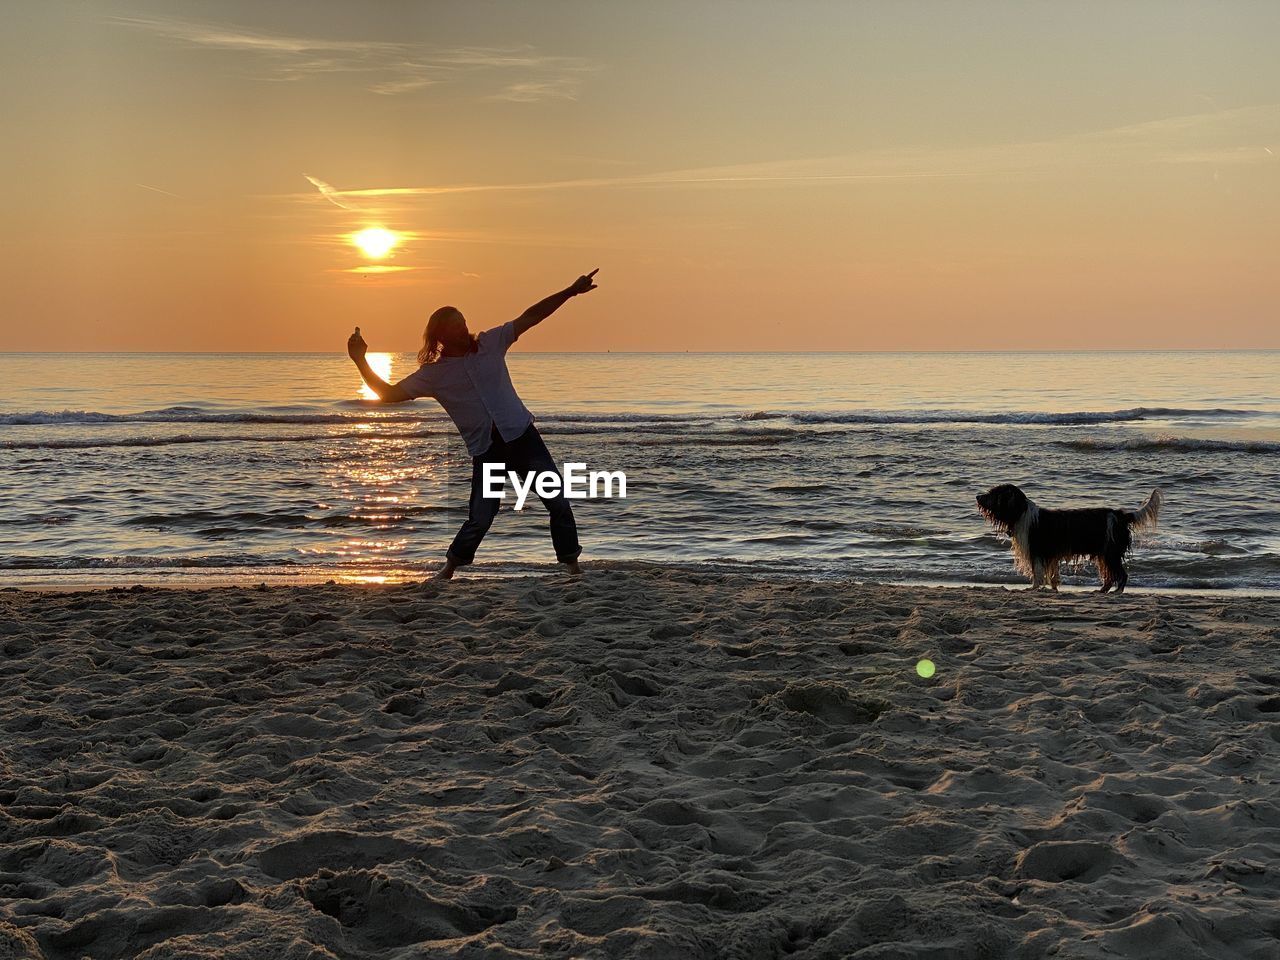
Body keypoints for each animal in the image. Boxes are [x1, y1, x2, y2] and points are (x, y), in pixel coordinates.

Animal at [977, 488, 1162, 593]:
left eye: (993, 494)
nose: (978, 496)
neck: (1020, 513)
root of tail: (1120, 515)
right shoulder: (1049, 555)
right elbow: (1052, 574)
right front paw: (1053, 588)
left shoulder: (1037, 552)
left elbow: (1037, 573)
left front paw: (1033, 588)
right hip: (1104, 553)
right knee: (1109, 575)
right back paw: (1102, 590)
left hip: (1111, 552)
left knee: (1121, 574)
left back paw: (1117, 592)